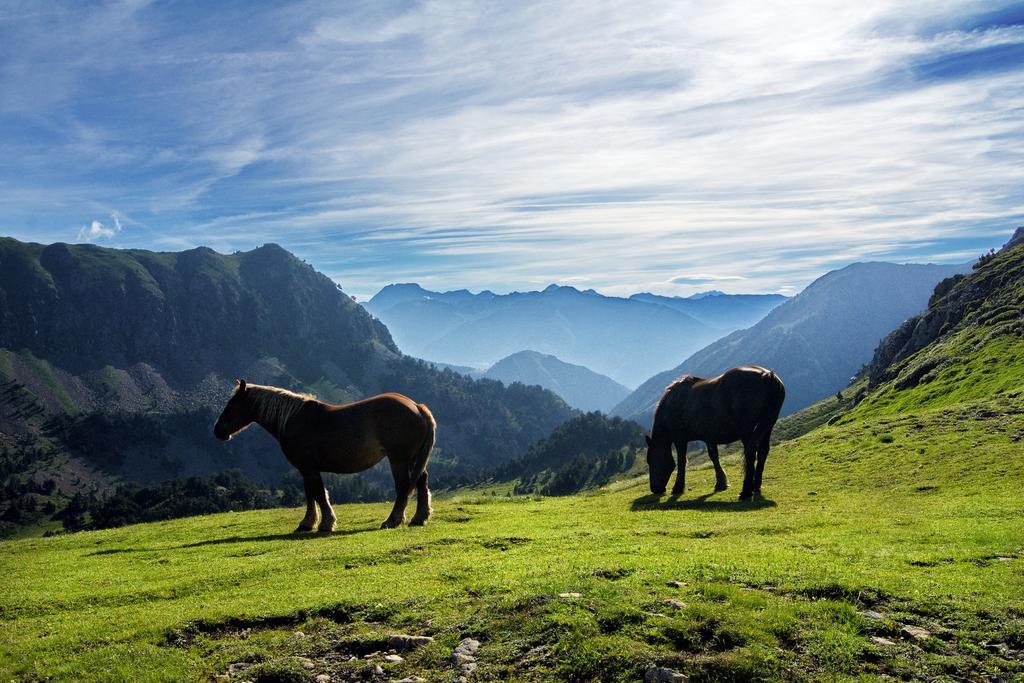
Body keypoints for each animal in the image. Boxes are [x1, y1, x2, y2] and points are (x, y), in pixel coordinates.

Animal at [214, 378, 438, 532]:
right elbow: (311, 494)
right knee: (421, 482)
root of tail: (417, 407)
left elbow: (319, 494)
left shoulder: (309, 468)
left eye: (232, 405)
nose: (218, 431)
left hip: (398, 460)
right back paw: (419, 518)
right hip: (413, 459)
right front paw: (307, 523)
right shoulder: (306, 469)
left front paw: (326, 523)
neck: (293, 419)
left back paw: (392, 520)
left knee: (403, 488)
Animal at [643, 366, 786, 499]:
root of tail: (767, 375)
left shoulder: (680, 439)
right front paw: (721, 483)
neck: (672, 404)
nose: (655, 489)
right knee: (763, 452)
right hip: (767, 425)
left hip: (747, 430)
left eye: (650, 459)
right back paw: (756, 487)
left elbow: (682, 461)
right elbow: (714, 457)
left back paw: (746, 491)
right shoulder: (710, 437)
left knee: (750, 452)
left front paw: (678, 487)